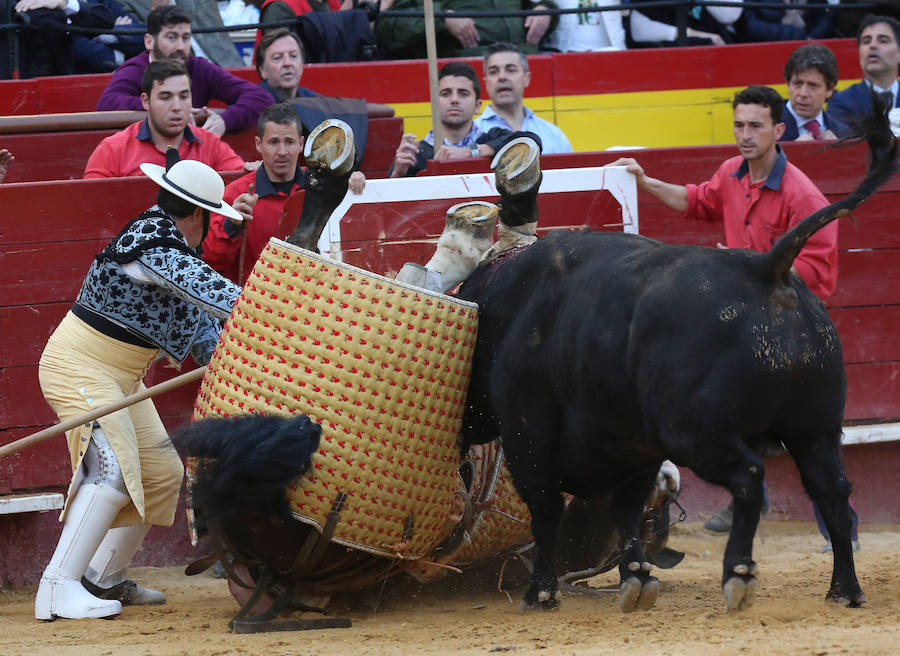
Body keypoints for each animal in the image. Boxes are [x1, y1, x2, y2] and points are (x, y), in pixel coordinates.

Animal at [458, 118, 900, 608]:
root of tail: (769, 268)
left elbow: (548, 509)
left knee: (750, 477)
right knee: (833, 493)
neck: (509, 304)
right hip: (816, 428)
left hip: (697, 432)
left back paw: (739, 574)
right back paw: (844, 589)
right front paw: (635, 578)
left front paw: (541, 592)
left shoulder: (529, 435)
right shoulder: (633, 448)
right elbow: (626, 510)